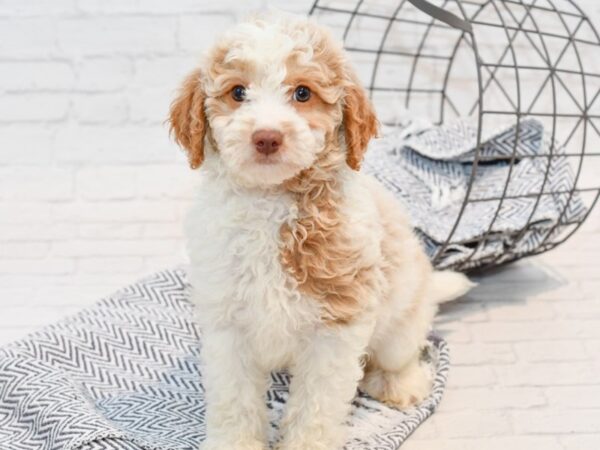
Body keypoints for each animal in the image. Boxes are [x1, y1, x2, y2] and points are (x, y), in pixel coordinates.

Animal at [170, 14, 474, 450]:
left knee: (403, 356)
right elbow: (234, 401)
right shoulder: (228, 323)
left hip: (400, 324)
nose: (266, 137)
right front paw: (236, 441)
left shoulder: (335, 329)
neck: (271, 203)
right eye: (238, 92)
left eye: (302, 93)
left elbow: (315, 405)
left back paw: (402, 385)